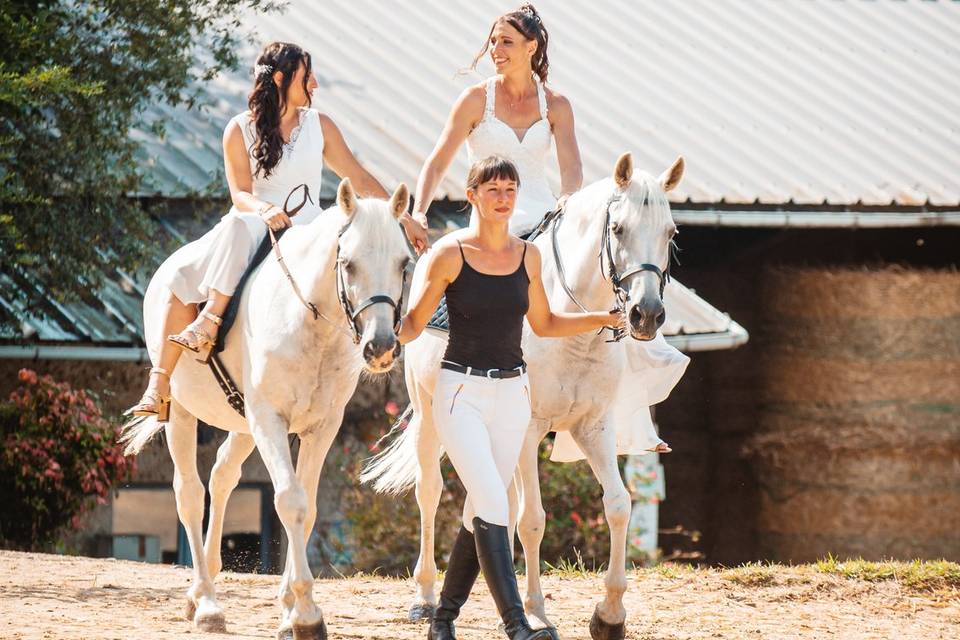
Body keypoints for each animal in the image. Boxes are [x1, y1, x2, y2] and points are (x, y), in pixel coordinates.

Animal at [120, 180, 408, 640]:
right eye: (348, 264)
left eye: (403, 263)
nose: (380, 348)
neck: (310, 323)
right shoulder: (270, 421)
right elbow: (290, 502)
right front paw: (306, 614)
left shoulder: (321, 428)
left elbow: (308, 509)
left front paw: (290, 610)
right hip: (183, 412)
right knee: (189, 493)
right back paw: (206, 602)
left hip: (244, 424)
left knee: (222, 476)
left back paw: (202, 587)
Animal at [360, 155, 684, 640]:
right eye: (619, 228)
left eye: (671, 232)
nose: (646, 315)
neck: (574, 332)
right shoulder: (531, 430)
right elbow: (533, 520)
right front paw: (536, 613)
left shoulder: (595, 427)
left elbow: (618, 506)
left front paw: (609, 615)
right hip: (432, 421)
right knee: (432, 493)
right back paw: (425, 597)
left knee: (490, 505)